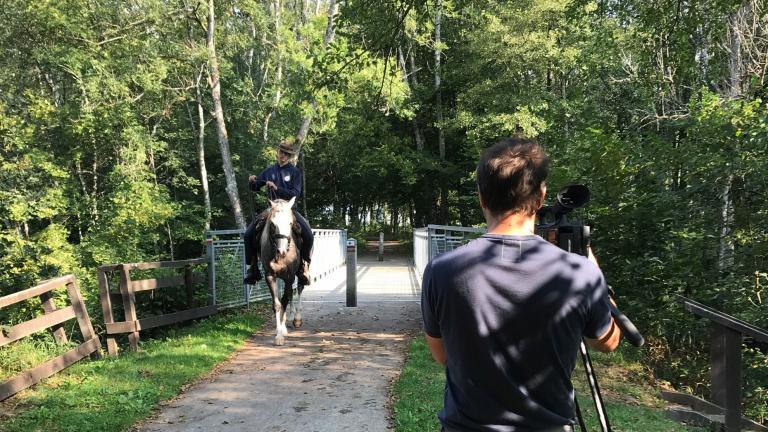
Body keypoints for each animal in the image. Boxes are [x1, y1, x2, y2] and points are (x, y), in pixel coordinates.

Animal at [260, 197, 304, 346]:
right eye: (273, 223)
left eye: (290, 223)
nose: (282, 251)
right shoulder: (270, 276)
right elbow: (277, 304)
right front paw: (278, 335)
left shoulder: (289, 276)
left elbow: (285, 299)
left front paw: (281, 332)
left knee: (299, 288)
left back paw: (296, 318)